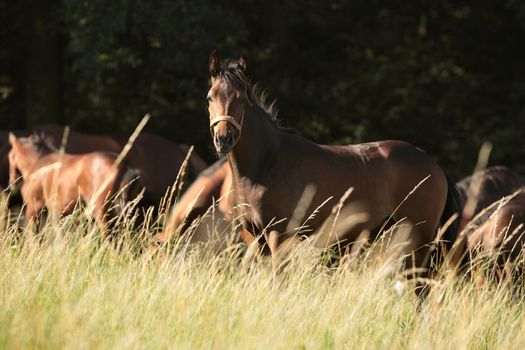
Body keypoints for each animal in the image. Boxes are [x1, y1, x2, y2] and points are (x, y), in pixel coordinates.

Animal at [9, 133, 140, 231]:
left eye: (10, 156)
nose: (12, 182)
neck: (38, 162)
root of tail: (124, 165)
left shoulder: (34, 207)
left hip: (101, 211)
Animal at [205, 52, 458, 276]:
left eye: (242, 99)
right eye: (210, 97)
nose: (223, 139)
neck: (266, 163)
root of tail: (432, 164)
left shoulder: (279, 235)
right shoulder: (255, 238)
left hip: (418, 239)